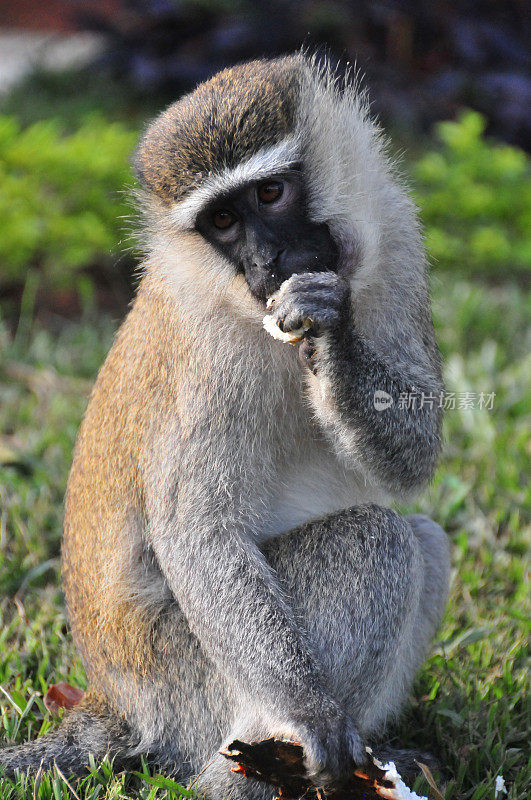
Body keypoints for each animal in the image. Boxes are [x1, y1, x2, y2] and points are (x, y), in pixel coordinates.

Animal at [0, 53, 450, 796]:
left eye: (269, 194)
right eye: (221, 221)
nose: (268, 264)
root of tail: (112, 702)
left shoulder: (397, 239)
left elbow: (416, 451)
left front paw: (332, 337)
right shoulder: (208, 359)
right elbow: (198, 532)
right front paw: (312, 714)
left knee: (425, 540)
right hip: (185, 684)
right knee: (378, 539)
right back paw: (248, 776)